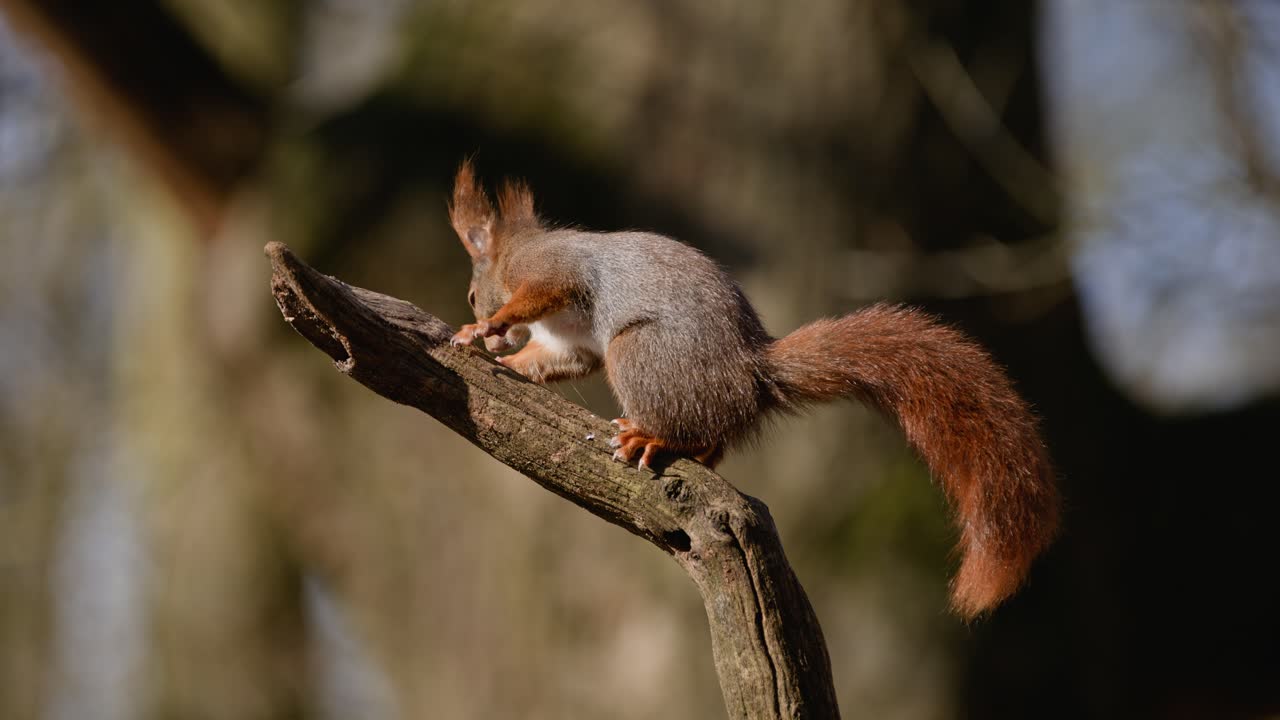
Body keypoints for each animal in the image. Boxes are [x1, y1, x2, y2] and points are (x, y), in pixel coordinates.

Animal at [446, 161, 1059, 618]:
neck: (518, 249)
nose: (483, 318)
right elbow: (555, 360)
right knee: (716, 441)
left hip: (639, 354)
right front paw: (502, 354)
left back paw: (649, 437)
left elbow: (543, 292)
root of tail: (750, 375)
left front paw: (489, 328)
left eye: (473, 294)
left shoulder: (554, 273)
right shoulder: (568, 344)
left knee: (693, 427)